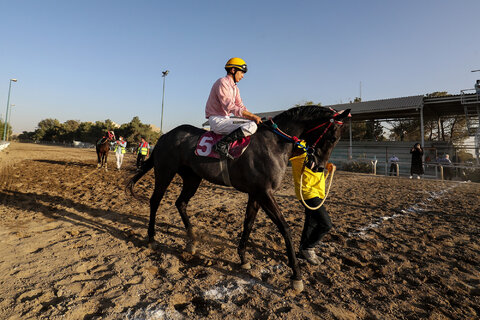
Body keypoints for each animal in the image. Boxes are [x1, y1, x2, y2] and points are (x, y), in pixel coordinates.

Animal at [127, 106, 350, 292]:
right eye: (332, 137)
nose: (318, 167)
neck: (274, 144)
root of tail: (165, 135)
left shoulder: (256, 193)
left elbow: (248, 224)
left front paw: (243, 258)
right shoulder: (264, 193)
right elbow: (284, 228)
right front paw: (296, 275)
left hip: (192, 178)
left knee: (180, 203)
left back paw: (192, 241)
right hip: (165, 173)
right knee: (155, 201)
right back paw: (152, 238)